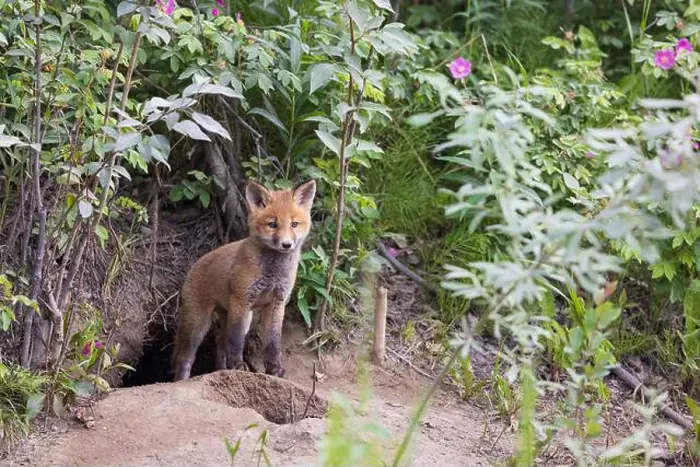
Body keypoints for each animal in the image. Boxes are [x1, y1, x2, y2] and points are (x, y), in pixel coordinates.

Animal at [171, 179, 316, 381]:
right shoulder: (242, 299)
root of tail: (195, 264)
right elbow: (237, 340)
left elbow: (273, 343)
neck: (272, 272)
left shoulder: (276, 303)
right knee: (185, 358)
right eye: (272, 224)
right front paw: (238, 365)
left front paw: (275, 370)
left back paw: (221, 370)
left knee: (220, 345)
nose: (286, 244)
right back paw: (183, 379)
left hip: (238, 317)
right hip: (198, 323)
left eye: (294, 224)